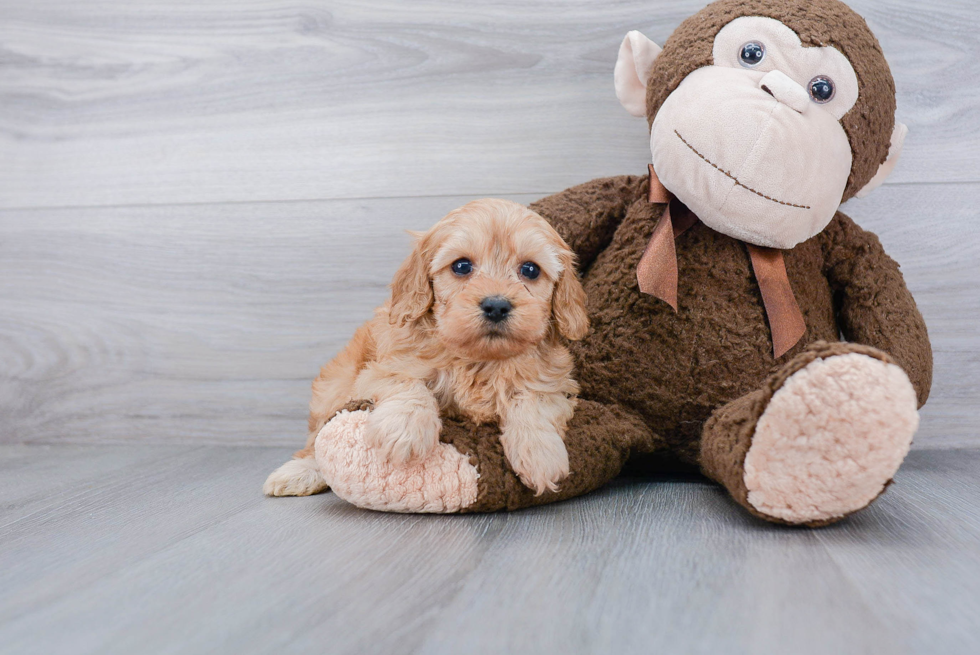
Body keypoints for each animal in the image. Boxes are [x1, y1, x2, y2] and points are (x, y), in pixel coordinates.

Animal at [262, 200, 588, 498]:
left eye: (530, 270)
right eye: (461, 266)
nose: (496, 306)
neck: (479, 359)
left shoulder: (554, 384)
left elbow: (532, 401)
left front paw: (541, 454)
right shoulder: (381, 370)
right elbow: (407, 384)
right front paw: (405, 430)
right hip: (335, 387)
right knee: (315, 438)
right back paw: (298, 473)